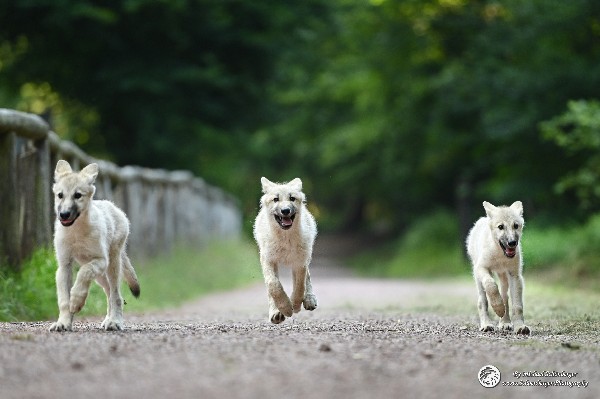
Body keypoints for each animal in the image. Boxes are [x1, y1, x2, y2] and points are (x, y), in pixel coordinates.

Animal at [49, 159, 141, 332]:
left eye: (78, 195)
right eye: (60, 195)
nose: (63, 215)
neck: (76, 232)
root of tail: (112, 206)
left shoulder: (100, 260)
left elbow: (83, 275)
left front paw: (76, 300)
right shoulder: (64, 265)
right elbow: (64, 300)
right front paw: (63, 322)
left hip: (112, 265)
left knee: (116, 295)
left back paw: (115, 322)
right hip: (100, 275)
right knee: (109, 293)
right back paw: (108, 319)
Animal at [253, 178, 318, 324]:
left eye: (292, 198)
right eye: (276, 199)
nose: (285, 210)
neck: (285, 239)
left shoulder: (299, 262)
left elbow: (300, 286)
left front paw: (295, 305)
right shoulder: (268, 259)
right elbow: (273, 285)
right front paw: (285, 308)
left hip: (305, 256)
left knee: (307, 277)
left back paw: (309, 299)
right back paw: (276, 313)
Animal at [464, 202, 528, 336]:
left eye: (516, 225)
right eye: (500, 227)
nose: (512, 243)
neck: (499, 254)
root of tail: (483, 219)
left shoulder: (515, 275)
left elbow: (517, 305)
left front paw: (520, 326)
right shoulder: (481, 268)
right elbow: (491, 285)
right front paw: (498, 308)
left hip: (504, 278)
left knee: (505, 297)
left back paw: (505, 322)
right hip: (477, 277)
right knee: (482, 301)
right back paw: (487, 324)